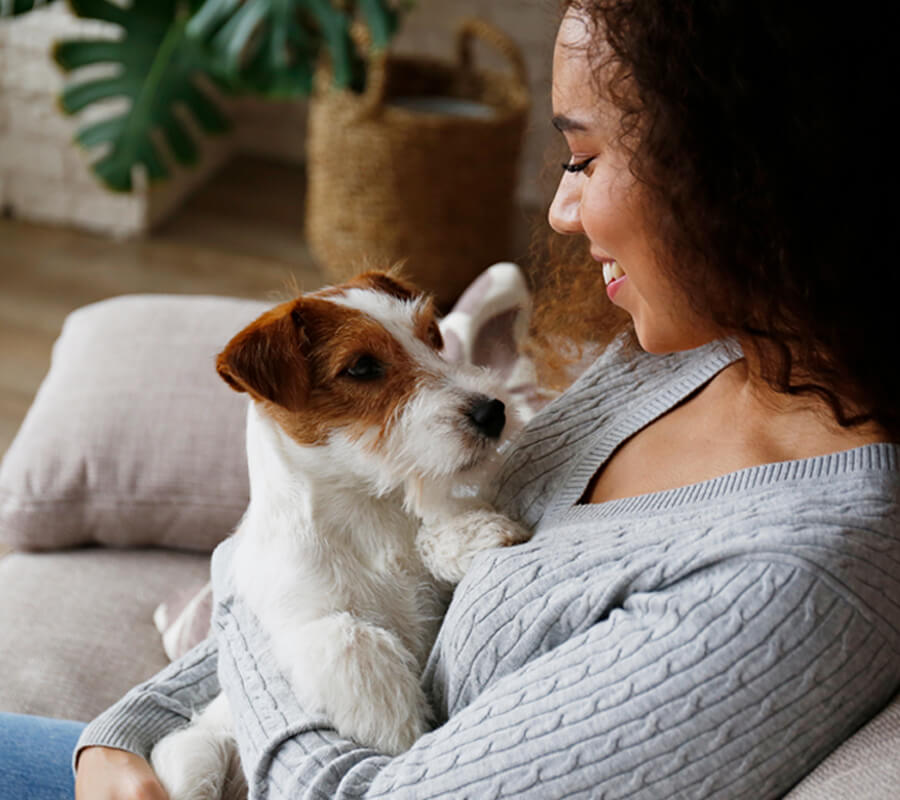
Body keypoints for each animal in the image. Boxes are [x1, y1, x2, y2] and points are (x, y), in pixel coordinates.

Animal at [150, 270, 532, 800]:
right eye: (362, 367)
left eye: (432, 337)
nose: (492, 412)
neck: (365, 510)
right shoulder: (299, 620)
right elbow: (348, 635)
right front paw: (397, 727)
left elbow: (430, 531)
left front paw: (472, 533)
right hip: (193, 756)